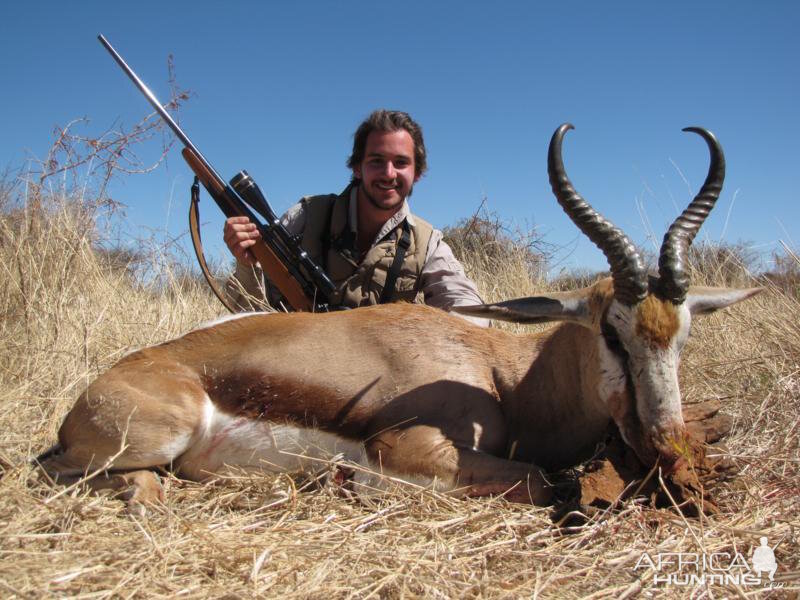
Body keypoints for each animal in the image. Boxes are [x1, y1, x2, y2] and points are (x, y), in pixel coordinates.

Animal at [39, 124, 764, 508]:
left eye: (682, 336)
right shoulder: (411, 448)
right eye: (611, 332)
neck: (499, 375)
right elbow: (541, 479)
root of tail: (91, 394)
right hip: (153, 437)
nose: (667, 449)